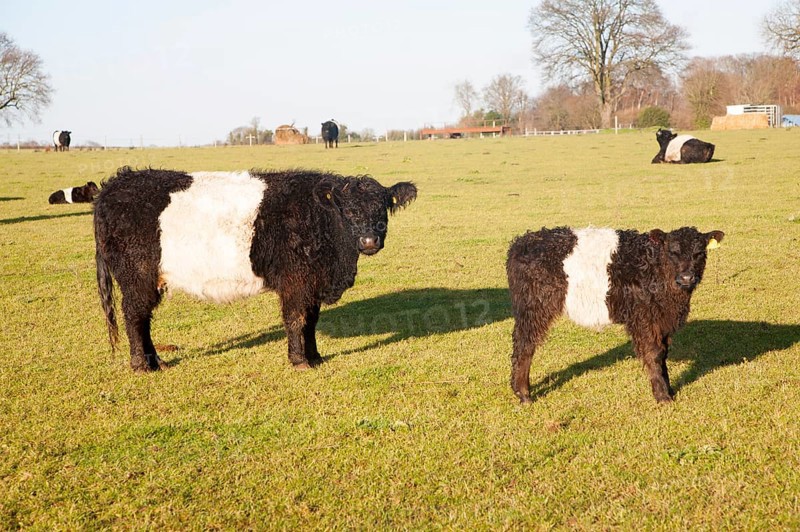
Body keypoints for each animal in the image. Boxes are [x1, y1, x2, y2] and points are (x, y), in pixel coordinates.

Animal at [93, 167, 417, 372]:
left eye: (382, 208)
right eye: (348, 210)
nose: (369, 241)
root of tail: (115, 184)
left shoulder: (311, 283)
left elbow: (311, 321)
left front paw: (315, 357)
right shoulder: (296, 281)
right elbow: (297, 319)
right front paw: (299, 361)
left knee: (143, 318)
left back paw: (157, 362)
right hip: (137, 276)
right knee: (135, 316)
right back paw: (142, 366)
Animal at [506, 226, 724, 405]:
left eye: (699, 253)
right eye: (673, 252)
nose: (687, 277)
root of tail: (522, 241)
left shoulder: (662, 322)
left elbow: (663, 354)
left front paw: (668, 390)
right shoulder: (644, 318)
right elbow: (654, 354)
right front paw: (662, 397)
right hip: (533, 308)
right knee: (524, 346)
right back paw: (524, 394)